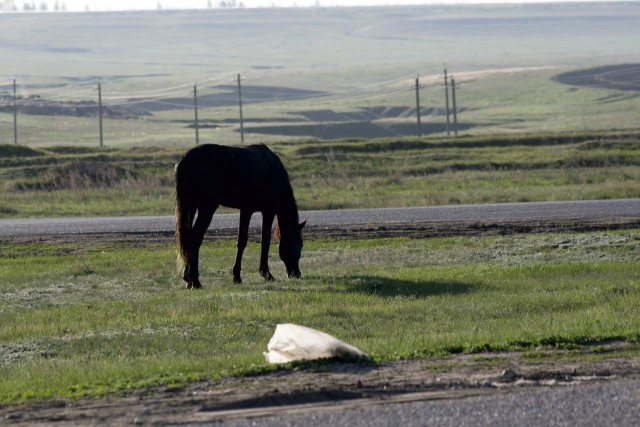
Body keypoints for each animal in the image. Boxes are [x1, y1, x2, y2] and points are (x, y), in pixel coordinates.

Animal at [175, 145, 304, 290]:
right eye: (300, 244)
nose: (297, 274)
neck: (274, 171)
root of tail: (185, 159)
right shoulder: (268, 211)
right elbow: (265, 240)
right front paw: (266, 273)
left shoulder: (246, 210)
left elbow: (242, 241)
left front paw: (237, 276)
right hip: (206, 208)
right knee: (195, 238)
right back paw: (195, 280)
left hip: (190, 207)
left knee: (187, 239)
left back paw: (188, 278)